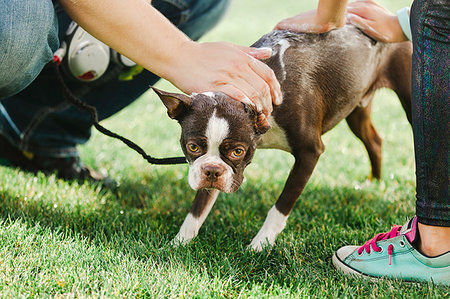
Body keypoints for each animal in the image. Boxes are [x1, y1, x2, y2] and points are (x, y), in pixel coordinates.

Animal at [152, 25, 412, 251]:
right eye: (193, 147)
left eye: (238, 151)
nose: (212, 172)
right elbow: (199, 207)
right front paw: (179, 243)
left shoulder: (310, 152)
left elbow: (282, 204)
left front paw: (260, 245)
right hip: (357, 107)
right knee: (374, 141)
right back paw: (374, 183)